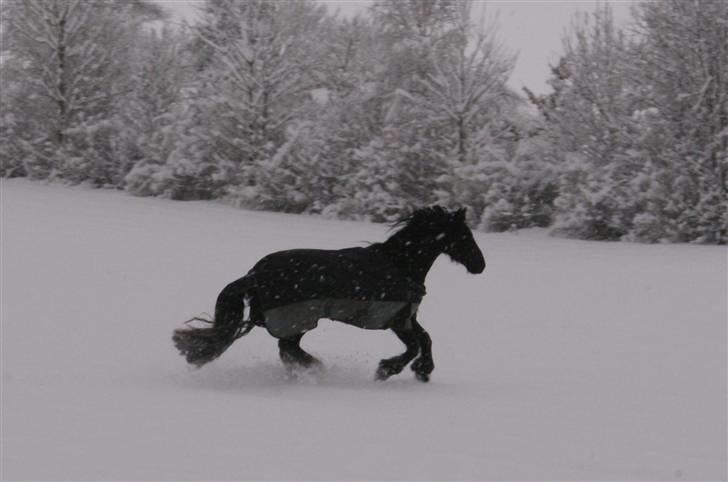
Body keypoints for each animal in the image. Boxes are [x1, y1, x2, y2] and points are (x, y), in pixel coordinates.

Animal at [173, 205, 486, 382]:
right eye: (465, 236)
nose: (480, 265)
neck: (400, 264)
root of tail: (254, 274)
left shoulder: (407, 317)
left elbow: (426, 339)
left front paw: (423, 371)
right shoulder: (396, 319)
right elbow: (413, 347)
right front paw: (386, 370)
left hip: (295, 322)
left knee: (287, 351)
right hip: (297, 320)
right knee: (287, 349)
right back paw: (317, 370)